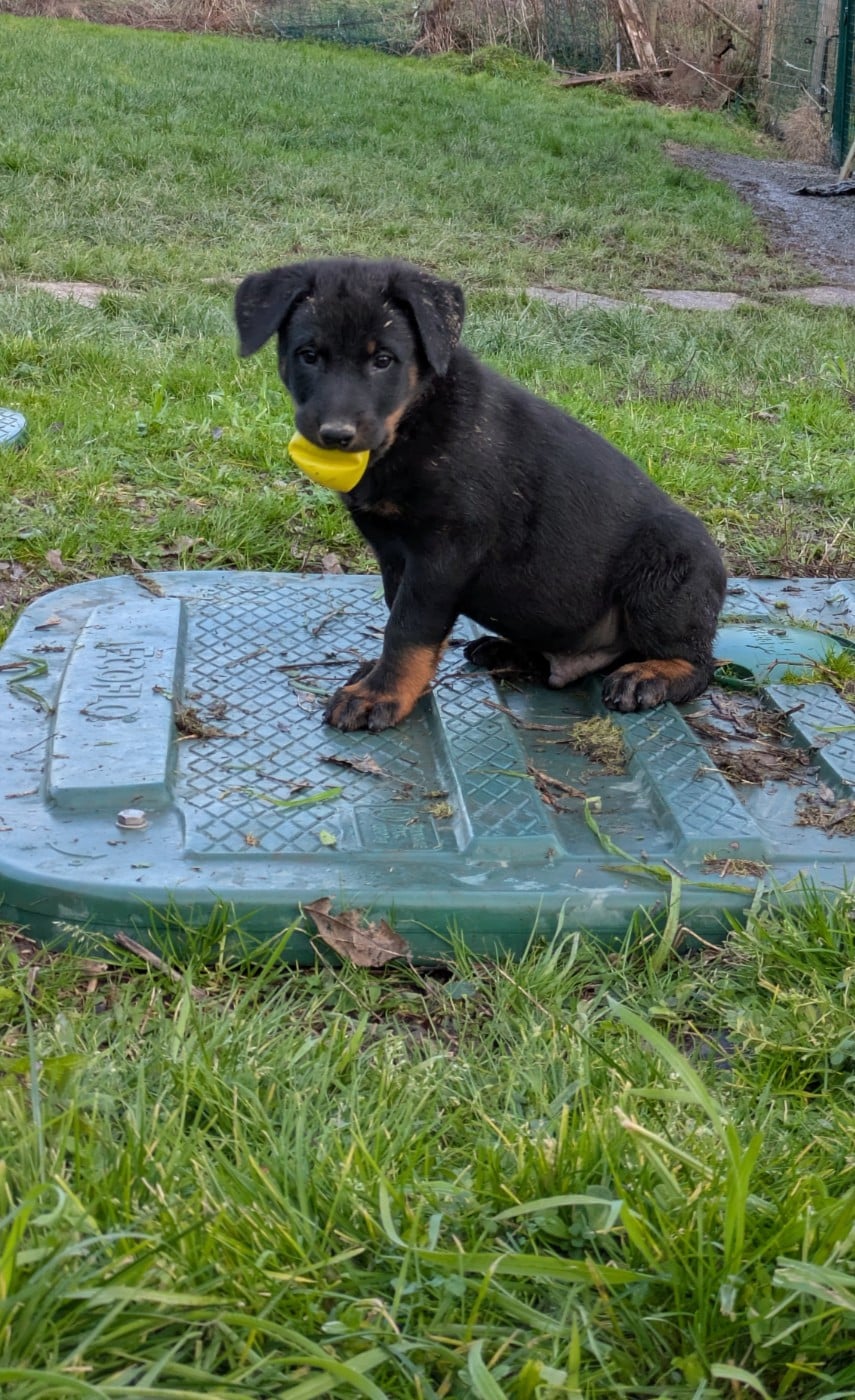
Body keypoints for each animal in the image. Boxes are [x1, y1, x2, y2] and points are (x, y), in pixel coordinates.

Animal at [235, 257, 727, 733]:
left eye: (384, 361)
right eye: (308, 355)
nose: (335, 436)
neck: (417, 420)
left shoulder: (443, 552)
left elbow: (408, 628)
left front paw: (381, 693)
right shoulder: (394, 554)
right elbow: (401, 616)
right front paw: (386, 678)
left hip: (666, 571)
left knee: (699, 664)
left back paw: (648, 675)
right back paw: (507, 651)